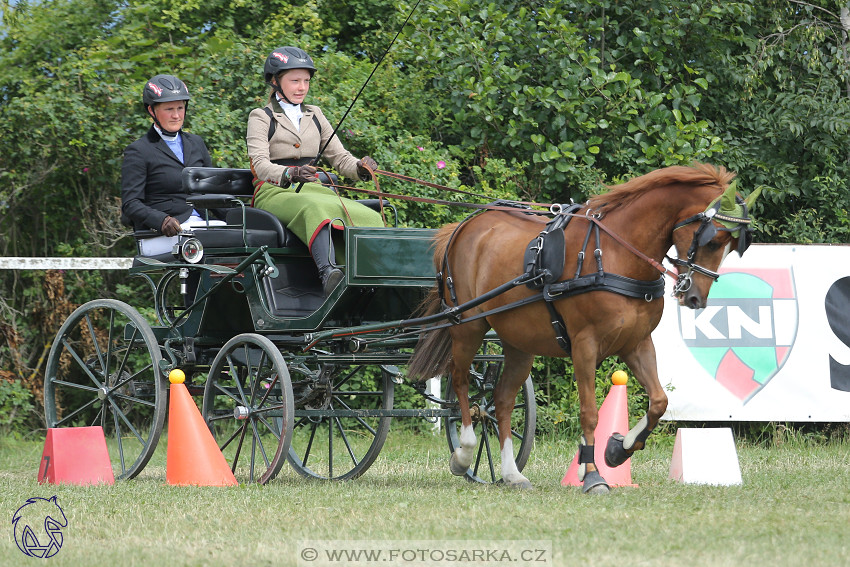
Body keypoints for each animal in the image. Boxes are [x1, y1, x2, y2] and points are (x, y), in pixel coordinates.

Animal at [408, 163, 760, 492]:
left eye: (732, 246)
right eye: (713, 241)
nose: (696, 297)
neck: (615, 254)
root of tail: (464, 226)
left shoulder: (637, 343)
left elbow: (659, 401)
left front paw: (618, 449)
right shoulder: (584, 345)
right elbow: (589, 412)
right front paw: (592, 475)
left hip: (519, 342)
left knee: (503, 399)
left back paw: (511, 473)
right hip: (468, 327)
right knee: (461, 381)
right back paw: (464, 453)